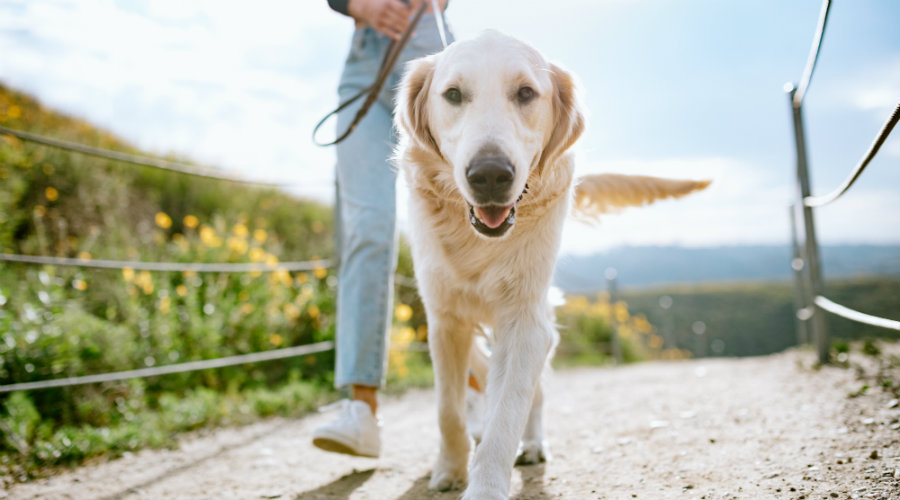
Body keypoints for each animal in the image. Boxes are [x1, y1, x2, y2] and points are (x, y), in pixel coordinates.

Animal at [394, 32, 712, 500]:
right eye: (452, 95)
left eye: (526, 93)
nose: (490, 175)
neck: (478, 241)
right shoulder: (444, 319)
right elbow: (447, 409)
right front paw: (450, 468)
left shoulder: (526, 321)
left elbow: (507, 413)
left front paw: (486, 484)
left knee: (535, 394)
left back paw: (532, 444)